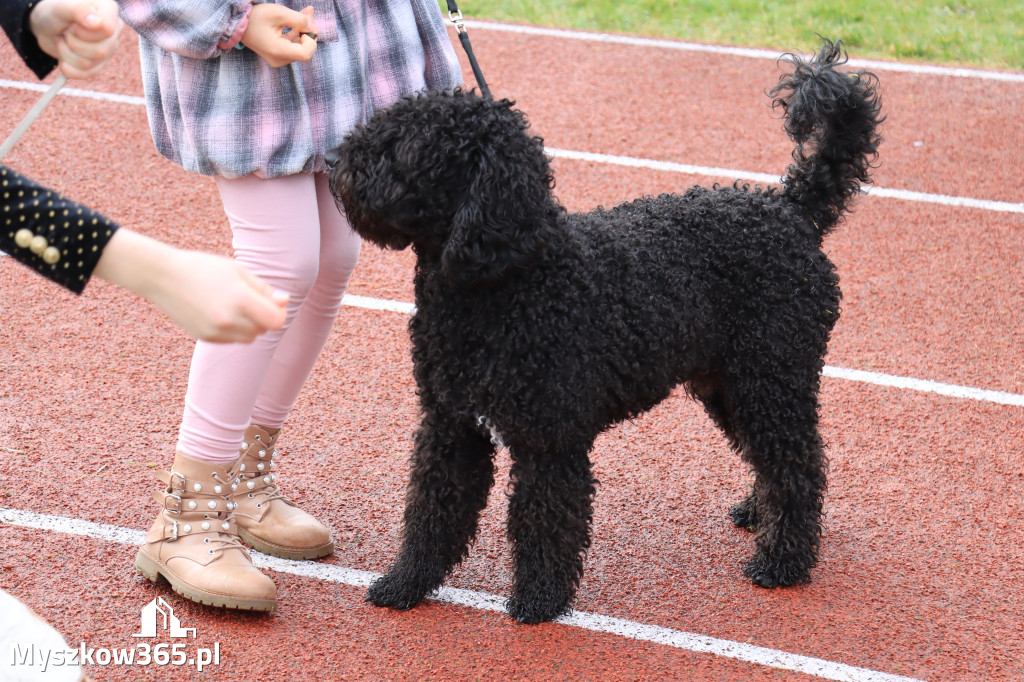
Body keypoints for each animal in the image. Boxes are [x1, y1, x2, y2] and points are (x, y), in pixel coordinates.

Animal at [329, 38, 880, 622]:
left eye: (406, 149)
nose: (334, 160)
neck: (508, 281)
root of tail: (792, 209)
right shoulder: (450, 425)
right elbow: (431, 514)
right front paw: (406, 582)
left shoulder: (550, 438)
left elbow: (545, 522)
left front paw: (540, 598)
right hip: (730, 383)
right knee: (771, 457)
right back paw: (759, 512)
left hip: (772, 375)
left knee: (799, 464)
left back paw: (783, 562)